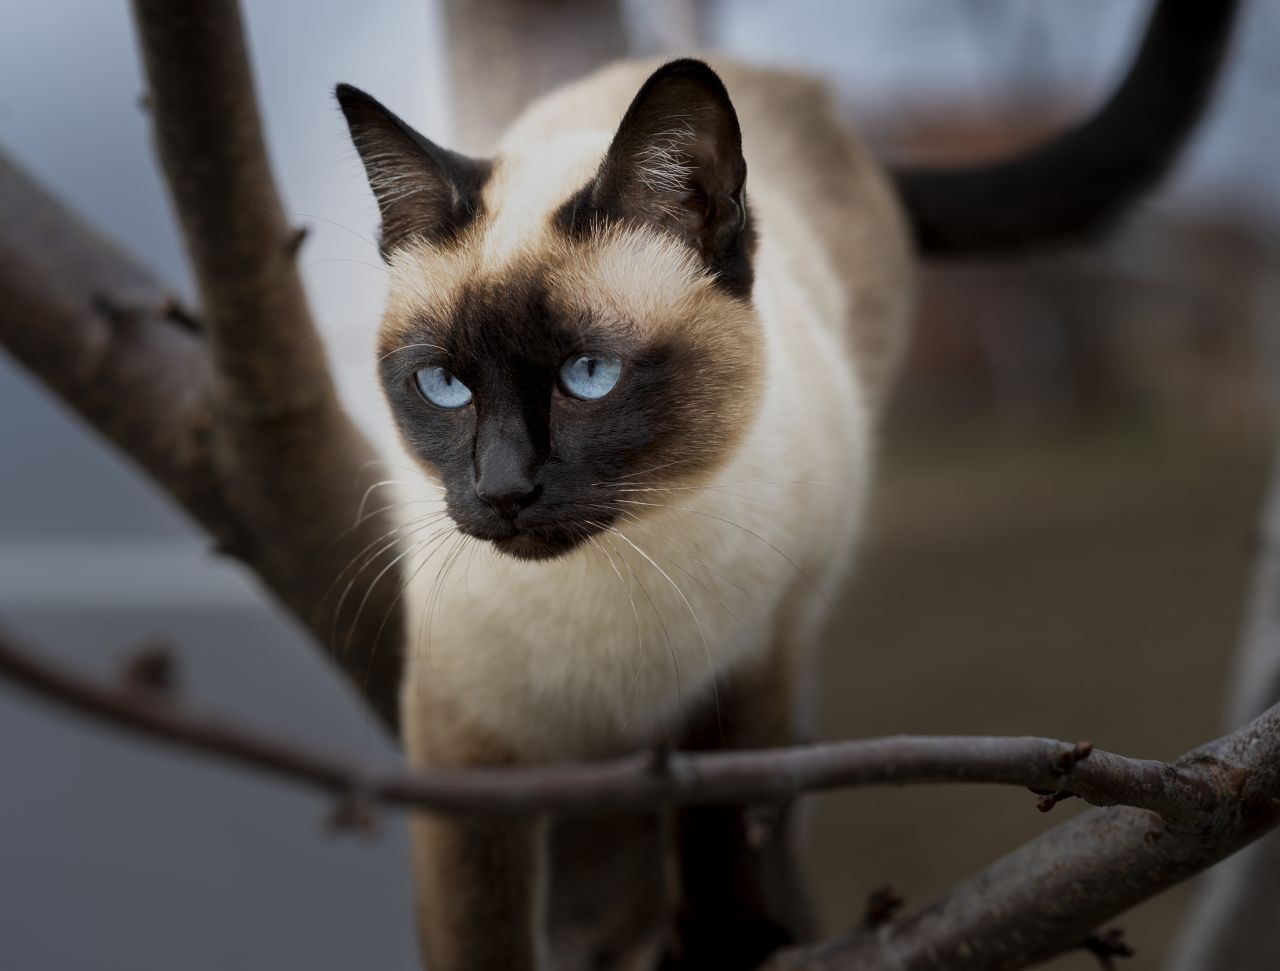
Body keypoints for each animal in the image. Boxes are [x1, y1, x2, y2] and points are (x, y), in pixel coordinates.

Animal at [335, 3, 1233, 967]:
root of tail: (802, 88)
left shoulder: (743, 679)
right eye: (443, 386)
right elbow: (482, 932)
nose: (504, 492)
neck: (611, 592)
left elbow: (718, 827)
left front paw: (727, 945)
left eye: (589, 376)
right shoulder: (464, 753)